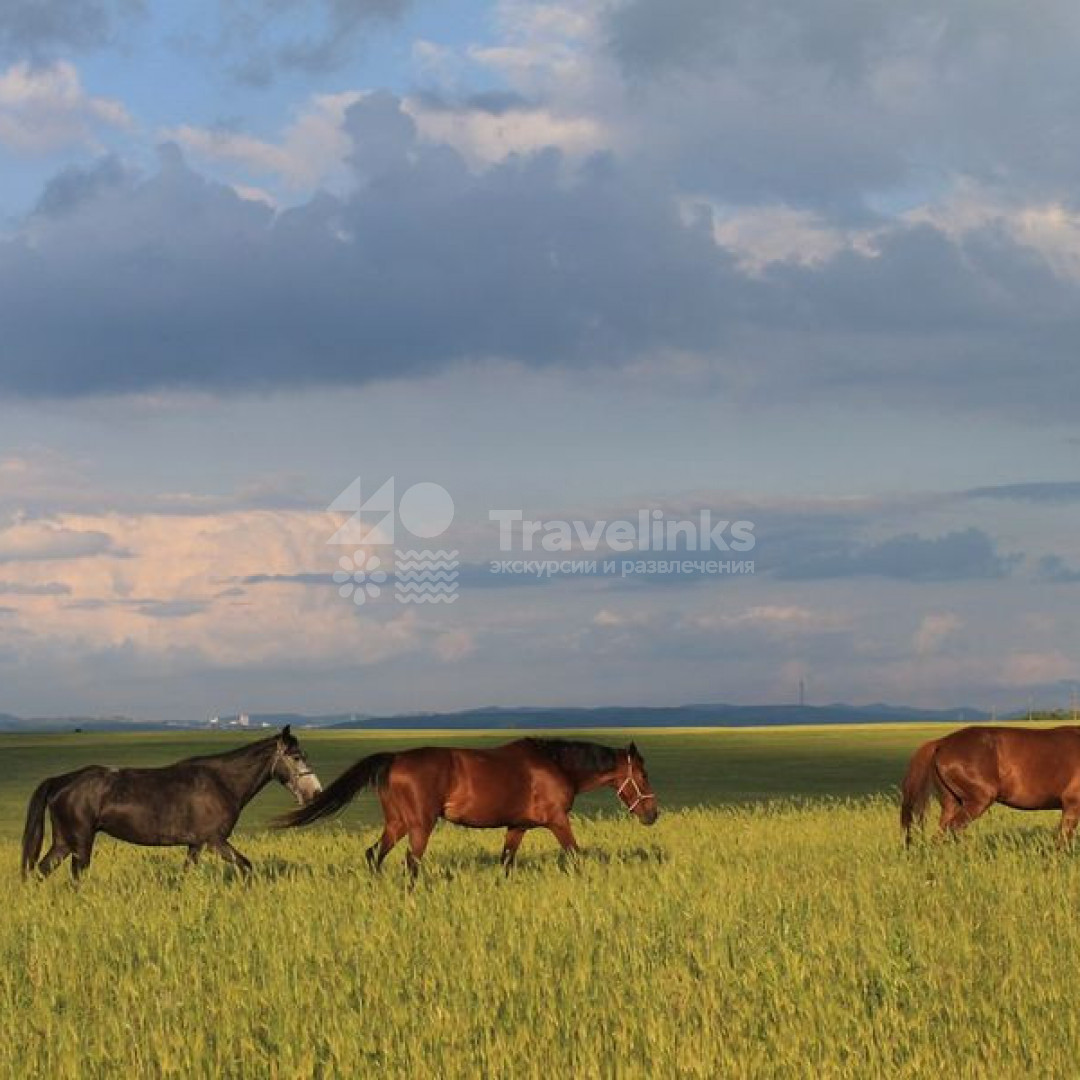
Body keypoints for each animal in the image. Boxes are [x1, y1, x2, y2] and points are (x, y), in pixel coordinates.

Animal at [19, 721, 319, 881]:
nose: (315, 793)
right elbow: (246, 866)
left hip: (64, 842)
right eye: (295, 757)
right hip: (80, 844)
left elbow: (186, 874)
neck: (222, 782)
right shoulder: (215, 841)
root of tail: (61, 781)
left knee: (41, 872)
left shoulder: (196, 844)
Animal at [278, 738, 656, 881]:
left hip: (397, 823)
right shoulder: (558, 821)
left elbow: (506, 862)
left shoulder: (517, 827)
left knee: (375, 854)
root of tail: (395, 758)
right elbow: (576, 855)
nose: (653, 814)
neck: (556, 765)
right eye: (643, 774)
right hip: (420, 825)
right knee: (410, 863)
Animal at [894, 725, 1080, 842]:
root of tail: (942, 742)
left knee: (940, 834)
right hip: (979, 800)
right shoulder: (1072, 805)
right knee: (952, 830)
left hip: (951, 802)